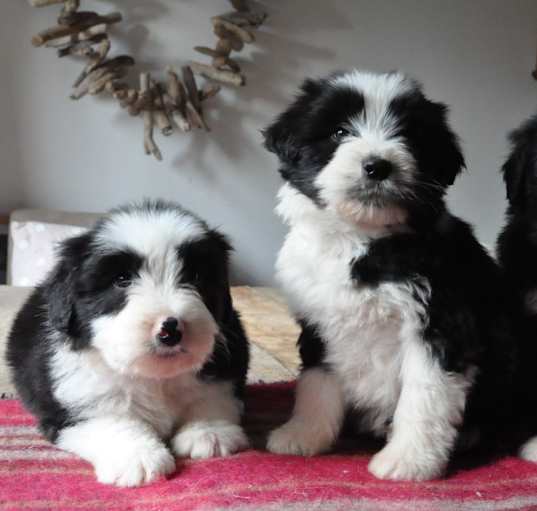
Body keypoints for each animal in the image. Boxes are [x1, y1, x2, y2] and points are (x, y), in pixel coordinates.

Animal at [6, 200, 249, 488]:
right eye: (121, 280)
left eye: (196, 276)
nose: (170, 330)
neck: (155, 377)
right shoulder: (73, 404)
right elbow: (111, 421)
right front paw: (138, 455)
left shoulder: (227, 364)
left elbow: (212, 396)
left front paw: (209, 431)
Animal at [264, 70, 524, 482]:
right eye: (339, 131)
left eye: (406, 136)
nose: (377, 166)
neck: (360, 238)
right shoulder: (319, 322)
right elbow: (315, 383)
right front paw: (303, 436)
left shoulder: (440, 324)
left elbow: (424, 396)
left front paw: (409, 462)